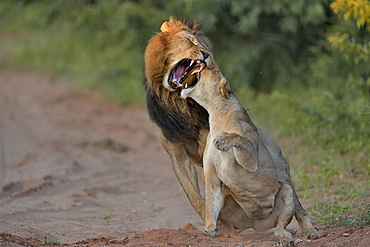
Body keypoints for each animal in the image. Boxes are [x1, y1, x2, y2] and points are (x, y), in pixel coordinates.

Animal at [179, 69, 316, 237]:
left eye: (213, 71)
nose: (203, 65)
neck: (216, 115)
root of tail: (254, 223)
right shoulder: (211, 174)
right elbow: (211, 203)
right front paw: (209, 228)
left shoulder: (251, 160)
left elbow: (242, 140)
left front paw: (223, 140)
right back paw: (227, 231)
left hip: (285, 187)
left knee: (285, 218)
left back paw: (286, 233)